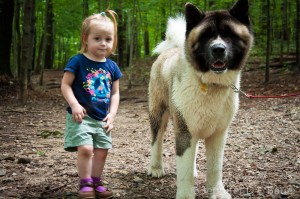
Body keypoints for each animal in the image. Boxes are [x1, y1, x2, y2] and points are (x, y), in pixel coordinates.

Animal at [148, 0, 253, 198]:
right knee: (156, 140)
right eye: (206, 36)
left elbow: (215, 167)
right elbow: (184, 173)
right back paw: (155, 167)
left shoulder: (218, 134)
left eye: (229, 34)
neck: (210, 84)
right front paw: (185, 195)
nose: (218, 49)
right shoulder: (184, 131)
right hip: (158, 114)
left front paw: (217, 192)